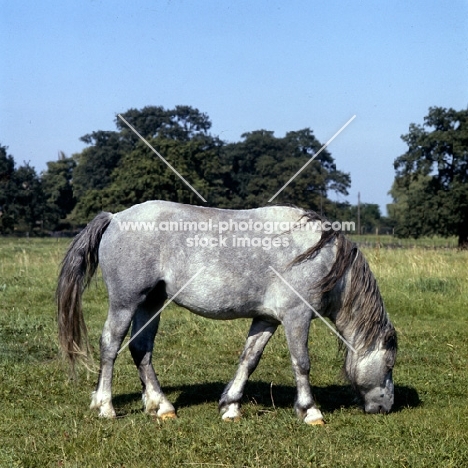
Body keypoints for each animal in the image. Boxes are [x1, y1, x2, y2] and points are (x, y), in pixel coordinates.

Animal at [56, 200, 396, 424]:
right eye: (390, 363)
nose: (386, 407)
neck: (322, 257)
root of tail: (115, 217)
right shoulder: (296, 317)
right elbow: (301, 363)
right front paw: (310, 411)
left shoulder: (267, 319)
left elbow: (249, 359)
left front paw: (230, 406)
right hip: (125, 303)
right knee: (110, 345)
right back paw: (105, 407)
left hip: (150, 303)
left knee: (141, 349)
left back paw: (161, 406)